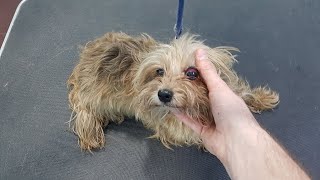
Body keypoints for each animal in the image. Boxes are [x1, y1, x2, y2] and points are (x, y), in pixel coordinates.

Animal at [68, 32, 280, 150]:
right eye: (159, 71)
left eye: (192, 72)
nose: (164, 94)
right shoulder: (173, 126)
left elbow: (242, 93)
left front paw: (262, 97)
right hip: (91, 97)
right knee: (85, 112)